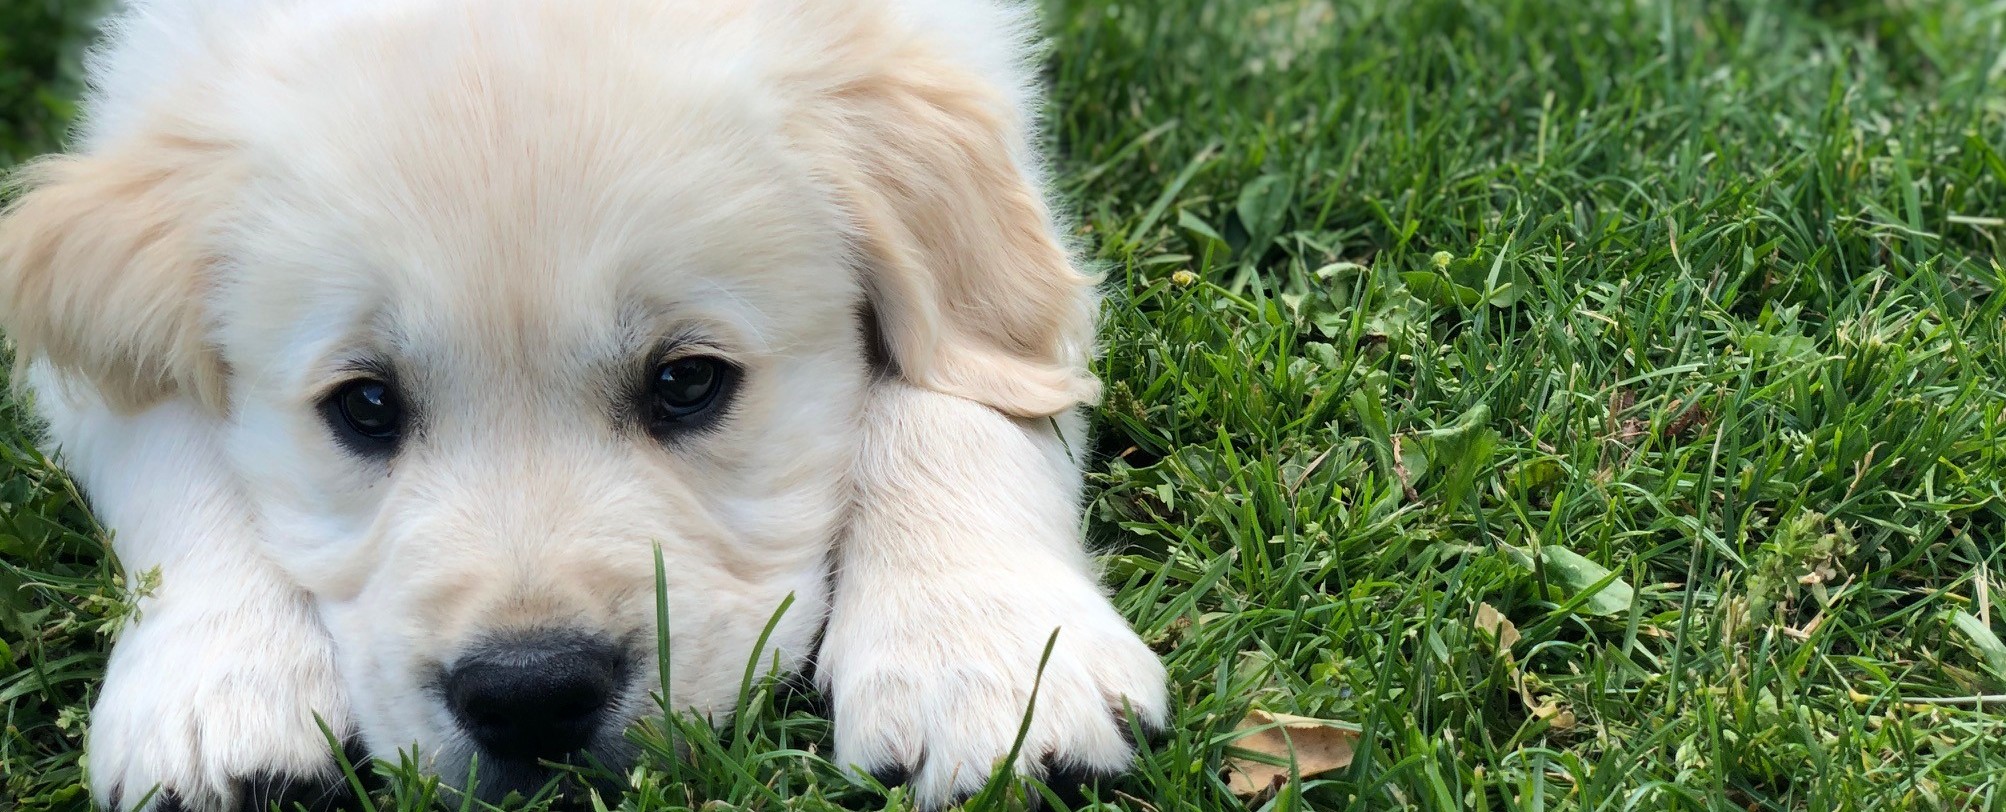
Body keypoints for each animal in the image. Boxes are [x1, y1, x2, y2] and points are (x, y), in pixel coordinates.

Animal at [0, 0, 1171, 805]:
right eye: (365, 405)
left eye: (687, 381)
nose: (530, 695)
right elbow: (178, 448)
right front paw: (218, 684)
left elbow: (954, 389)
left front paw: (983, 655)